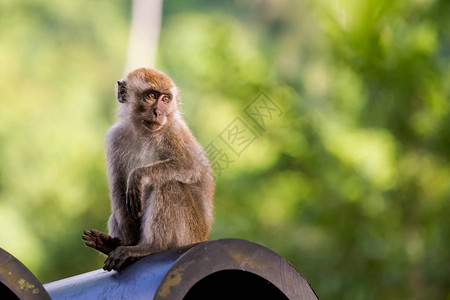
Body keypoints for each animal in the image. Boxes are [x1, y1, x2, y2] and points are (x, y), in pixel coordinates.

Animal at [83, 68, 216, 272]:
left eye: (166, 99)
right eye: (151, 96)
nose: (158, 112)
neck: (144, 133)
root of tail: (203, 236)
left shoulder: (175, 132)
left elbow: (192, 167)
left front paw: (139, 175)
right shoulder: (115, 138)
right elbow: (118, 187)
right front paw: (127, 241)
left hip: (188, 234)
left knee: (169, 184)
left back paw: (151, 247)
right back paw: (113, 246)